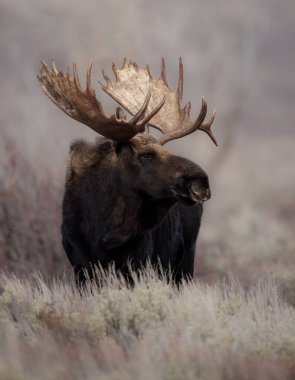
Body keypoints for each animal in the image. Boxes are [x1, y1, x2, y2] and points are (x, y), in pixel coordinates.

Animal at [38, 58, 217, 286]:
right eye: (146, 155)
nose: (201, 182)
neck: (103, 227)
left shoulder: (137, 263)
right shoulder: (80, 266)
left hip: (183, 265)